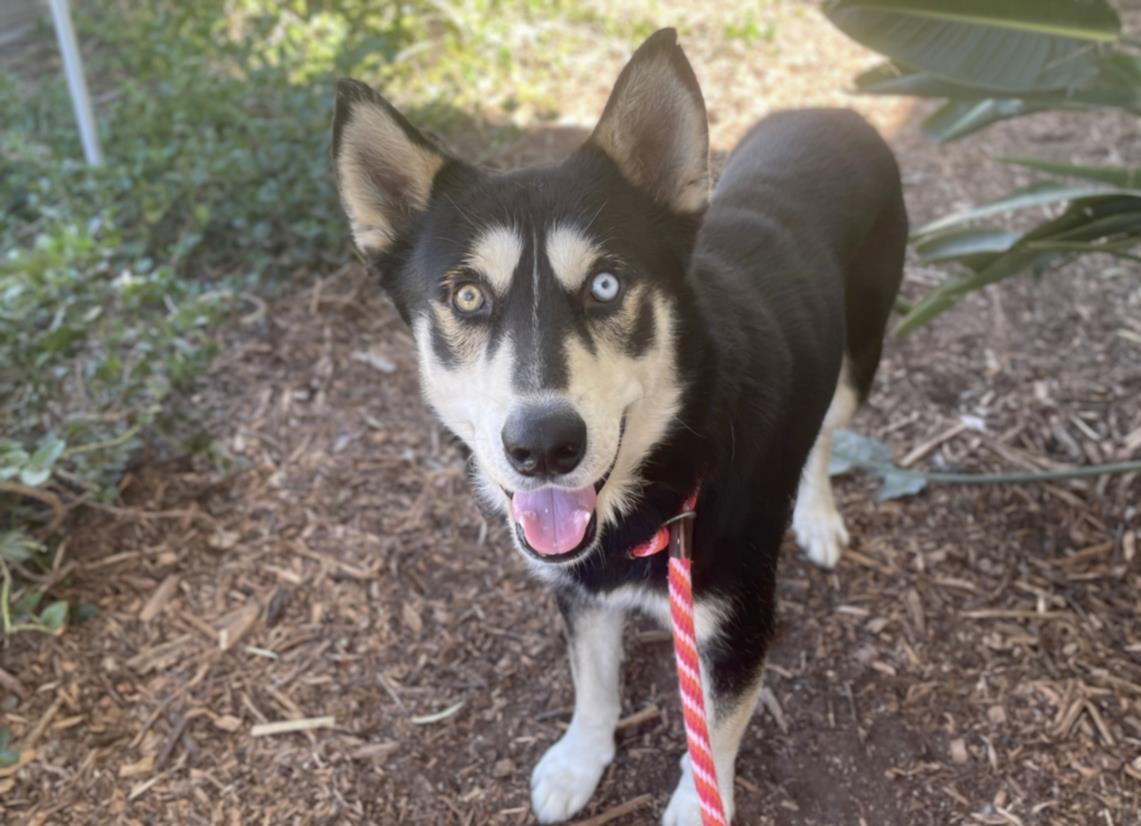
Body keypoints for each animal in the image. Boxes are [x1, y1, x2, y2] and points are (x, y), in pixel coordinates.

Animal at [333, 27, 908, 825]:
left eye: (605, 284)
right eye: (468, 296)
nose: (543, 447)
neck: (667, 474)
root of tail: (837, 112)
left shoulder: (738, 625)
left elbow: (714, 736)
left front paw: (696, 805)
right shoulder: (579, 591)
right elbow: (592, 683)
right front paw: (580, 761)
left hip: (859, 357)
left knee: (826, 428)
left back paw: (817, 515)